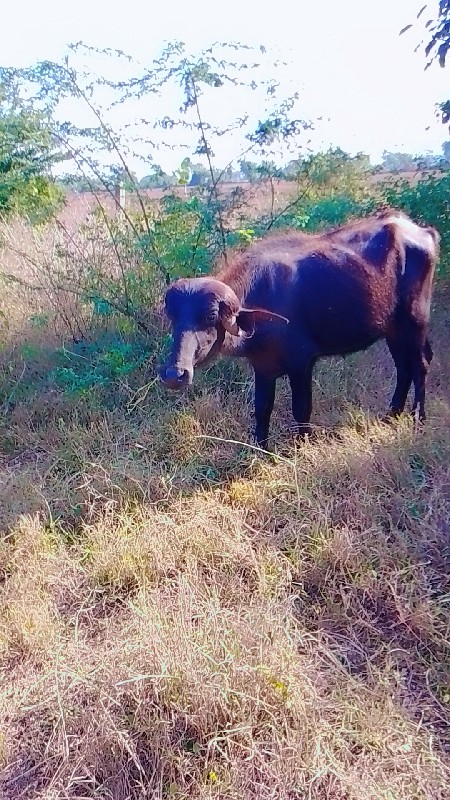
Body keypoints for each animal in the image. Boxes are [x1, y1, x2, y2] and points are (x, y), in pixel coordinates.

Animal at [158, 211, 440, 450]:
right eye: (174, 317)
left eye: (210, 316)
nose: (174, 374)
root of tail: (421, 230)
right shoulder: (262, 367)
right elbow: (262, 409)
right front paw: (261, 450)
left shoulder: (302, 363)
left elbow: (301, 409)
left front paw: (301, 446)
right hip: (393, 329)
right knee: (403, 367)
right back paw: (391, 415)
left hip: (415, 321)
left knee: (420, 365)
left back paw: (418, 418)